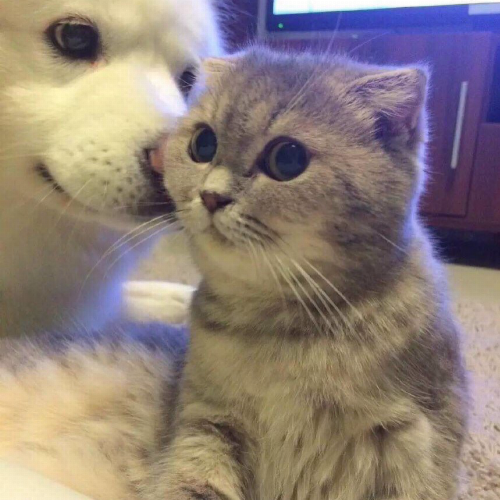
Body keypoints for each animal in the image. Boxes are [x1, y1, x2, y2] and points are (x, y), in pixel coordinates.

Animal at [146, 48, 468, 500]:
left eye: (288, 158)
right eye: (202, 143)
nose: (210, 196)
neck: (284, 329)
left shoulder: (418, 440)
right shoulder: (207, 420)